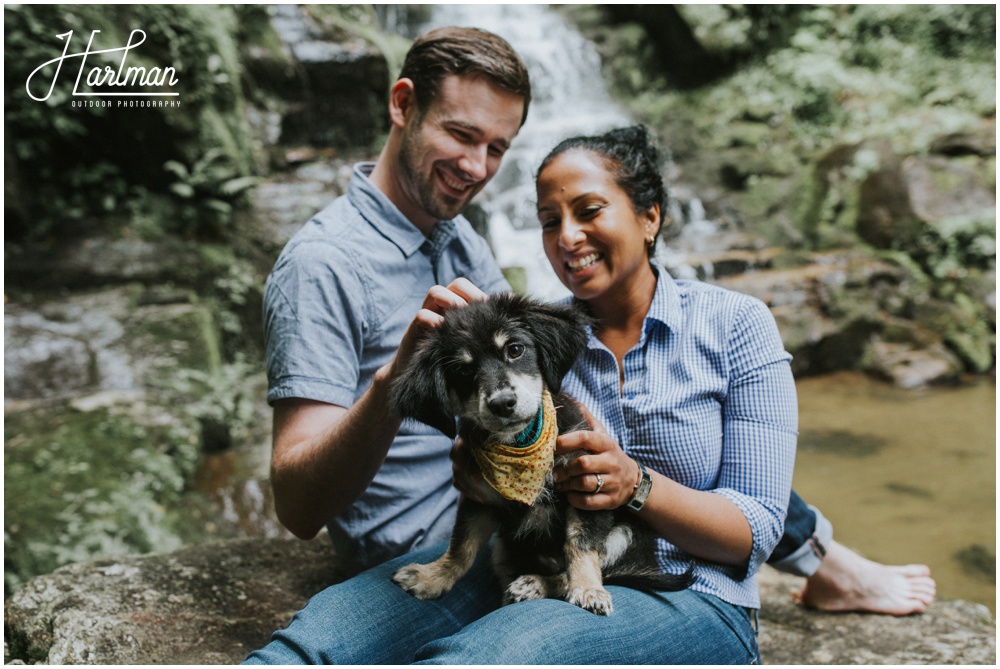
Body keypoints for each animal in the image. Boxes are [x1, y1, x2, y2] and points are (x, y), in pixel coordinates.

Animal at [386, 294, 692, 616]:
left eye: (515, 350)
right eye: (464, 371)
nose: (502, 403)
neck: (520, 445)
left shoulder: (588, 486)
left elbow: (580, 542)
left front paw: (587, 588)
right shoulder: (480, 498)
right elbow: (462, 545)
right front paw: (432, 576)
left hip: (627, 535)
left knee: (596, 569)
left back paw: (535, 584)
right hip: (504, 548)